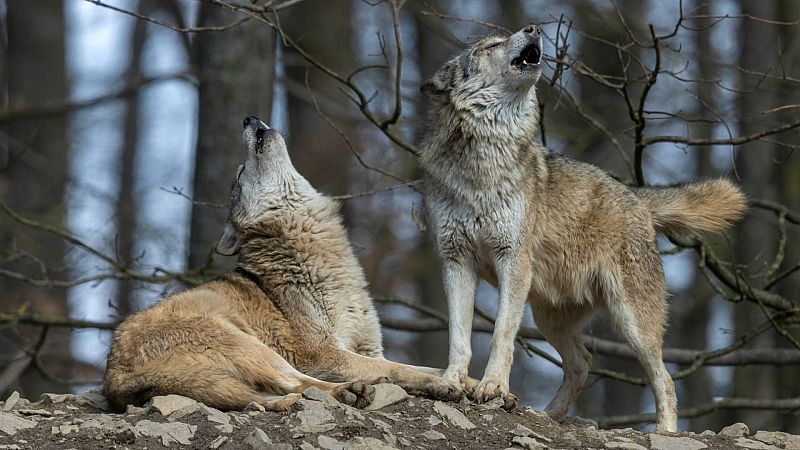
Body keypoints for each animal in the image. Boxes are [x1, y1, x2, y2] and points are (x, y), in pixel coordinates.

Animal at [104, 116, 462, 411]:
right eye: (240, 173)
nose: (248, 117)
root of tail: (113, 378)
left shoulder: (370, 348)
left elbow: (419, 366)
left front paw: (462, 381)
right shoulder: (325, 353)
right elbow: (397, 369)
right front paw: (439, 384)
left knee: (268, 395)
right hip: (249, 345)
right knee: (300, 384)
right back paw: (349, 391)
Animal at [418, 24, 746, 432]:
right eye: (491, 45)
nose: (533, 28)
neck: (482, 161)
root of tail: (637, 196)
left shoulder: (513, 261)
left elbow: (501, 335)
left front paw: (492, 386)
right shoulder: (455, 261)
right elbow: (459, 336)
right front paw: (451, 381)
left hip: (631, 322)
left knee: (664, 379)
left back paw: (665, 432)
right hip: (548, 317)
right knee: (583, 363)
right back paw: (548, 415)